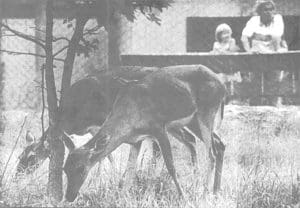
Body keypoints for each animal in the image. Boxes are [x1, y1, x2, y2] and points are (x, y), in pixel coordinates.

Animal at [63, 65, 227, 202]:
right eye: (64, 169)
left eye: (81, 168)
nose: (69, 197)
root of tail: (222, 84)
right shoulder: (136, 140)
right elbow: (130, 170)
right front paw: (120, 199)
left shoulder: (158, 128)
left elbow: (171, 166)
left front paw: (183, 198)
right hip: (193, 120)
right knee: (216, 144)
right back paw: (214, 191)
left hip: (206, 112)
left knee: (211, 153)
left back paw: (205, 193)